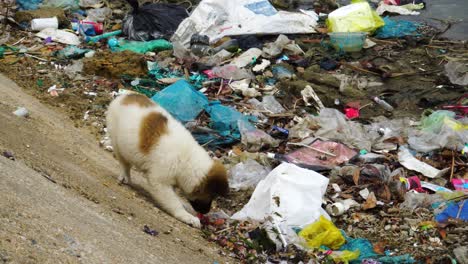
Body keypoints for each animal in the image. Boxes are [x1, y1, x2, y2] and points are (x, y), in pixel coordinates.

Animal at [108, 94, 229, 228]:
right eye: (211, 195)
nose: (206, 212)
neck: (187, 160)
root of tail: (124, 96)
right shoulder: (160, 182)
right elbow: (173, 202)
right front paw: (186, 216)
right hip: (117, 142)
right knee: (124, 163)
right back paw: (125, 177)